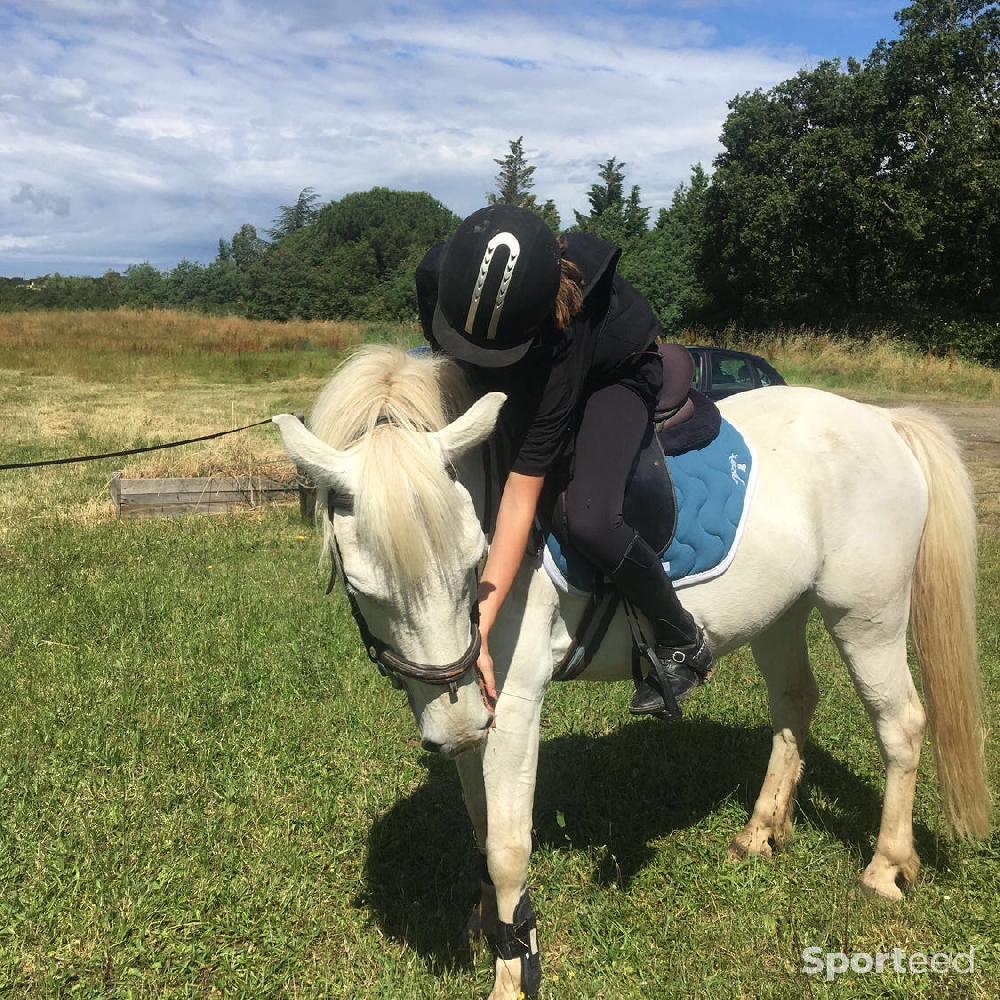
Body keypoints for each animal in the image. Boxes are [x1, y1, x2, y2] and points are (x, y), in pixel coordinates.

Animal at [272, 346, 984, 1000]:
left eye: (475, 562)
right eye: (362, 586)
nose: (459, 723)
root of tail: (885, 422)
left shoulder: (514, 703)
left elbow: (507, 846)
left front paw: (512, 972)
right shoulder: (473, 707)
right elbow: (479, 824)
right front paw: (491, 927)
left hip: (867, 616)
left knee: (901, 724)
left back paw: (886, 868)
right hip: (783, 612)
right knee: (794, 703)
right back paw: (761, 831)